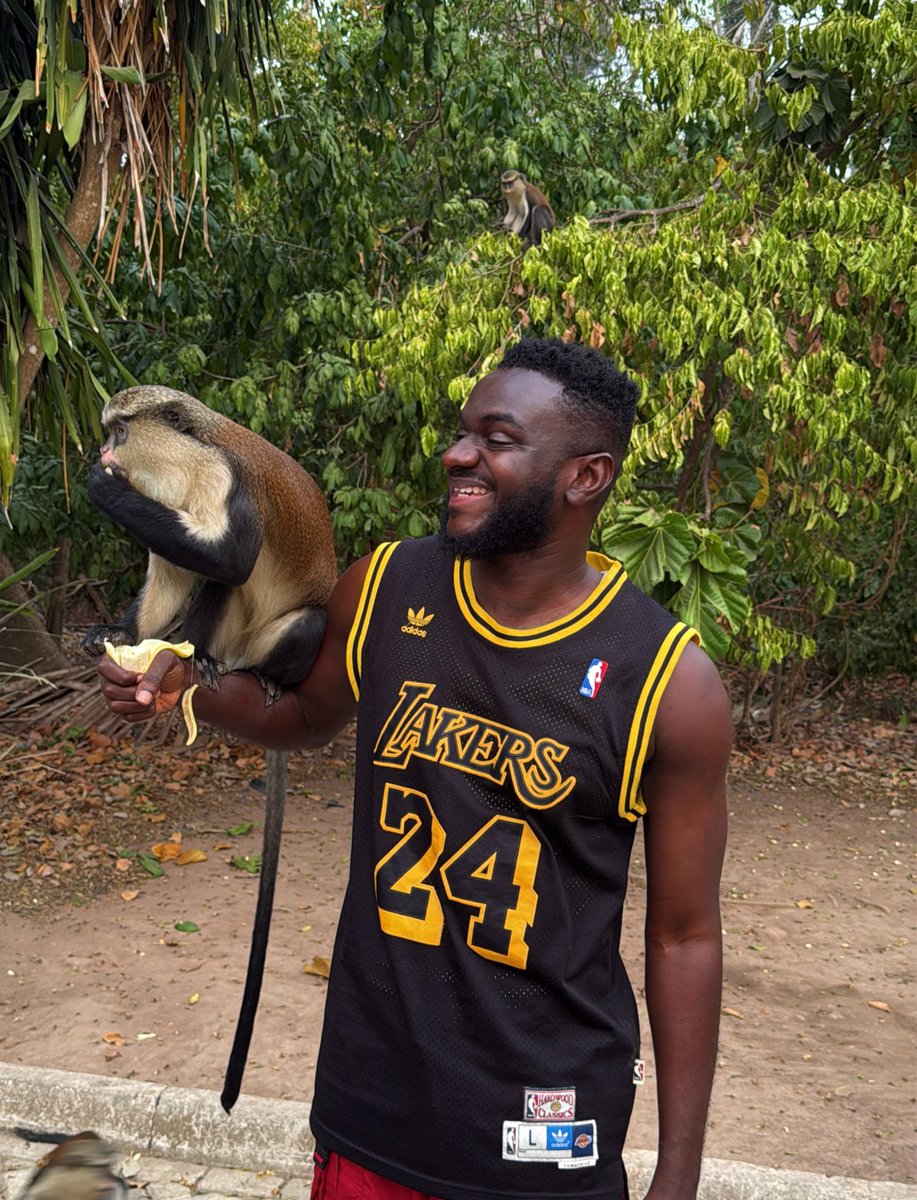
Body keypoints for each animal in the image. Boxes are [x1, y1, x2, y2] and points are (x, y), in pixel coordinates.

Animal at [80, 384, 337, 1112]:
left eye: (119, 431)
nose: (103, 452)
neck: (189, 452)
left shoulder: (224, 484)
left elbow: (230, 560)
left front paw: (102, 487)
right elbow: (172, 575)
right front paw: (120, 635)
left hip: (281, 637)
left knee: (250, 594)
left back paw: (223, 669)